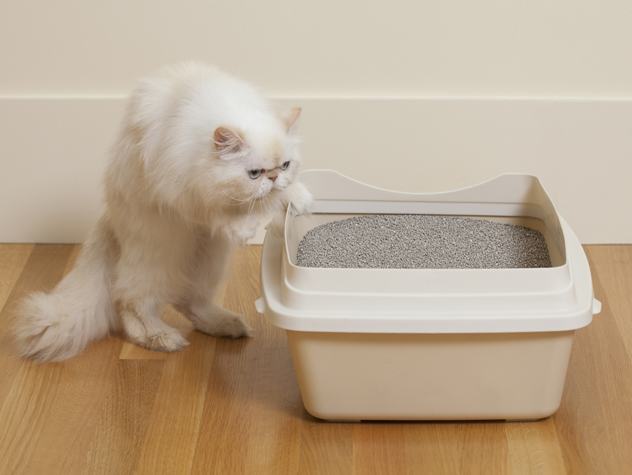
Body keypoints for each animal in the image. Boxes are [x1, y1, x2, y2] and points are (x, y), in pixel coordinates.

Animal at [12, 61, 314, 362]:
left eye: (284, 166)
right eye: (254, 173)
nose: (273, 178)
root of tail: (111, 217)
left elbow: (285, 195)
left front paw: (299, 198)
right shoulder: (181, 195)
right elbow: (217, 214)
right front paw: (242, 228)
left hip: (208, 258)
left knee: (189, 301)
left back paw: (227, 325)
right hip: (159, 257)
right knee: (130, 303)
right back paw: (163, 338)